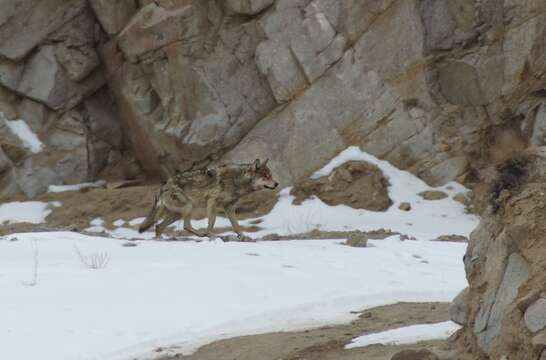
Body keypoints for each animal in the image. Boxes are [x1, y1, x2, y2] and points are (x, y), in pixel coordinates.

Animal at [138, 158, 278, 238]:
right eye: (266, 176)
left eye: (270, 175)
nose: (277, 183)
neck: (237, 180)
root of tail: (164, 186)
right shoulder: (212, 202)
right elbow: (212, 222)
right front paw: (211, 235)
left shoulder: (229, 208)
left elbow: (236, 225)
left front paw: (242, 237)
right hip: (189, 207)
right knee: (185, 226)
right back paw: (202, 235)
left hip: (177, 214)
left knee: (159, 227)